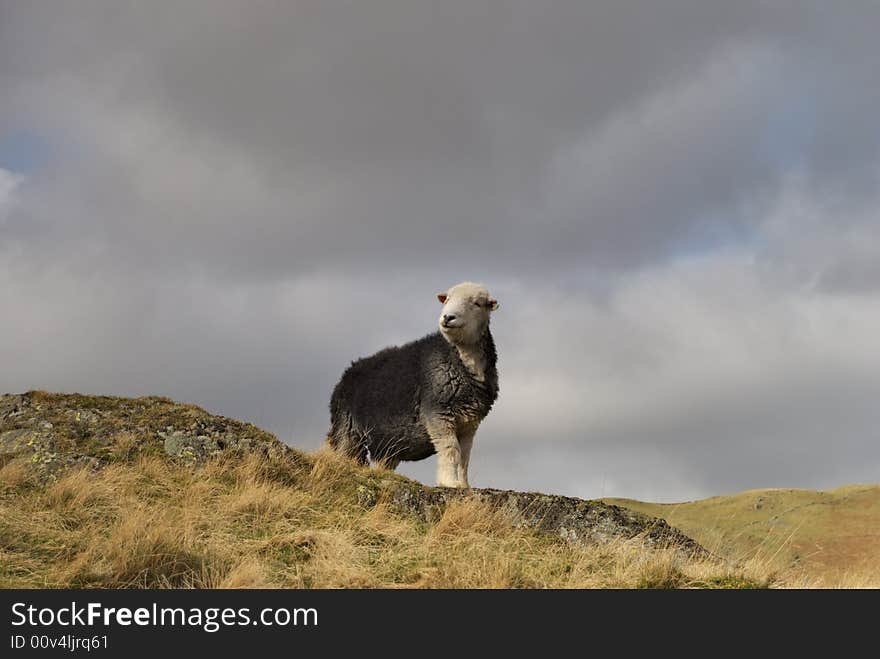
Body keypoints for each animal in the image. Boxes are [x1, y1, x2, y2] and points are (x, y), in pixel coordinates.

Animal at [326, 282, 498, 488]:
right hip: (346, 427)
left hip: (387, 442)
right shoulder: (438, 413)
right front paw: (449, 482)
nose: (448, 317)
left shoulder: (470, 422)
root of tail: (347, 373)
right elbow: (450, 449)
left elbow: (464, 455)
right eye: (447, 299)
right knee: (342, 451)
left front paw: (464, 485)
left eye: (477, 303)